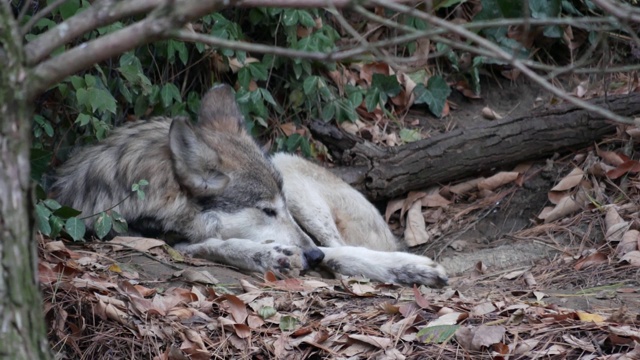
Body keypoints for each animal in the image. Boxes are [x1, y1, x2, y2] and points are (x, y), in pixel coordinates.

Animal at [50, 83, 448, 286]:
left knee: (342, 248)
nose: (312, 256)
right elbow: (218, 245)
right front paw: (268, 255)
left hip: (291, 170)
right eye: (267, 210)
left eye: (279, 206)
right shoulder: (160, 239)